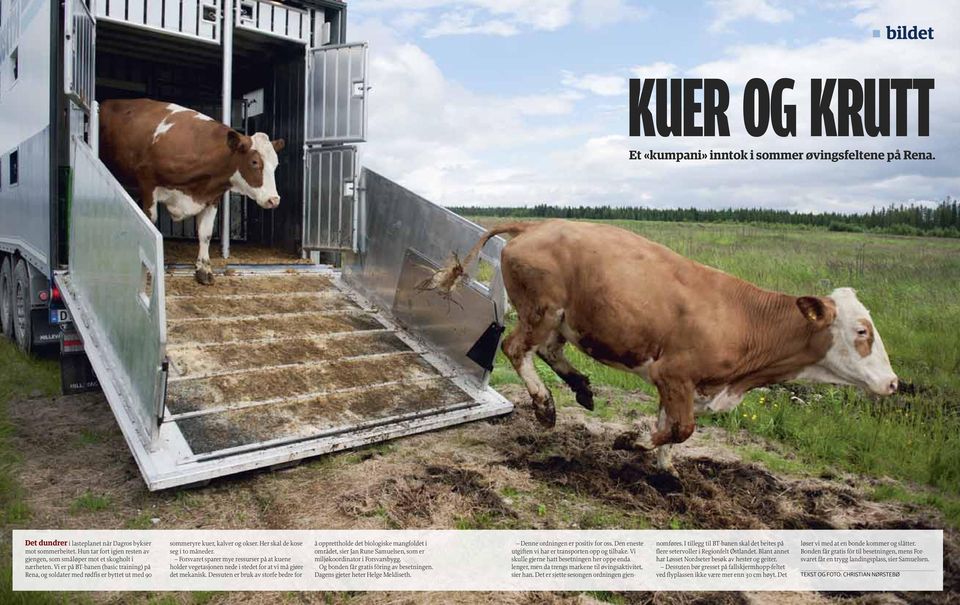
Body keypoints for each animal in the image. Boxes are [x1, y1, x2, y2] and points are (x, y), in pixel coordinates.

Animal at [99, 99, 284, 286]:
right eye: (254, 162)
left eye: (276, 164)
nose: (274, 200)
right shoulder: (147, 183)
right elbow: (150, 221)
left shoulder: (211, 197)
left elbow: (205, 234)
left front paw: (204, 270)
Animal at [430, 219, 900, 474]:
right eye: (862, 331)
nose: (894, 383)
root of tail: (535, 225)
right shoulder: (673, 374)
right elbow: (682, 428)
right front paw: (630, 441)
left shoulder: (684, 385)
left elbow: (671, 428)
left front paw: (665, 471)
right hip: (541, 311)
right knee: (515, 348)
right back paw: (546, 406)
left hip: (565, 320)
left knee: (548, 350)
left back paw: (582, 388)